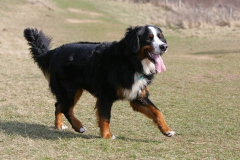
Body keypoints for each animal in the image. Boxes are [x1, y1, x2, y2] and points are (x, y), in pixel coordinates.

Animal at [23, 25, 174, 139]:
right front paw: (107, 135)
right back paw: (79, 127)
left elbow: (157, 112)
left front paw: (167, 130)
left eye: (160, 37)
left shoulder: (138, 96)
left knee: (59, 105)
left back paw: (59, 125)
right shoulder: (106, 95)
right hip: (70, 89)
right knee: (66, 108)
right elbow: (105, 116)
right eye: (149, 38)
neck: (131, 61)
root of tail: (53, 52)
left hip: (73, 90)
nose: (164, 46)